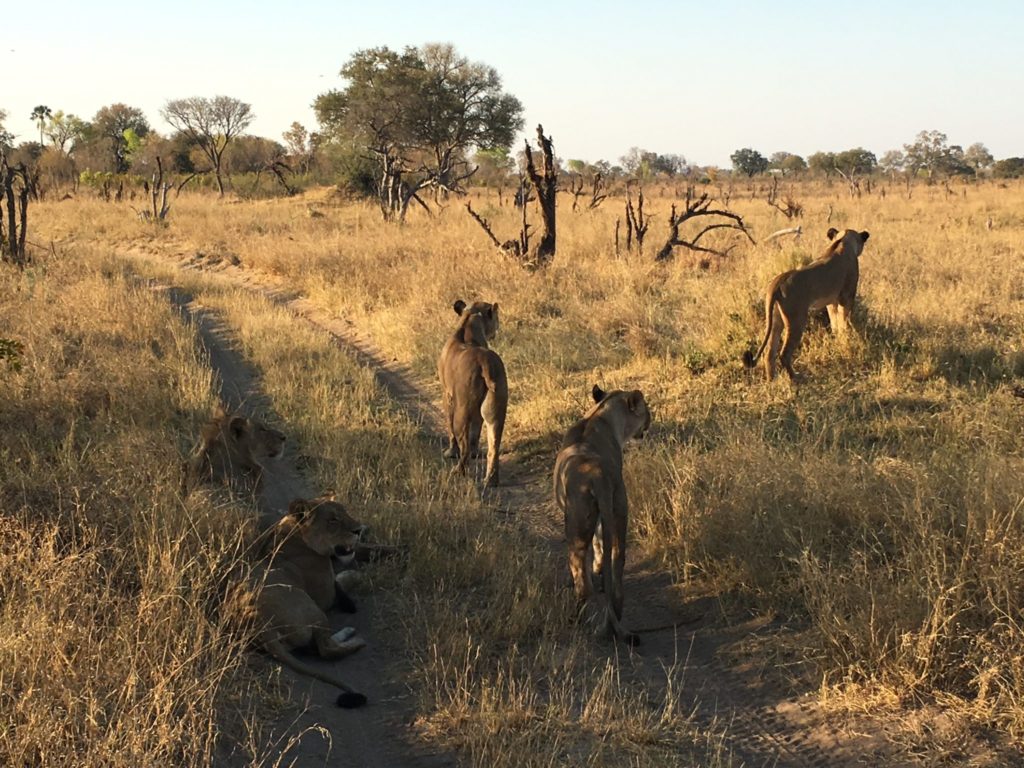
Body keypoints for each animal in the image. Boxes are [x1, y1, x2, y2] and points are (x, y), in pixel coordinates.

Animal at [226, 494, 370, 708]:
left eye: (345, 512)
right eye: (333, 520)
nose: (359, 530)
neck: (294, 532)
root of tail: (259, 623)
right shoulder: (326, 596)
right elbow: (343, 578)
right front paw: (357, 576)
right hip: (313, 608)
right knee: (326, 650)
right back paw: (356, 640)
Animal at [437, 300, 508, 487]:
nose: (498, 327)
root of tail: (485, 361)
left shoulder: (447, 394)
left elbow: (450, 427)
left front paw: (450, 452)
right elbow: (476, 432)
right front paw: (477, 453)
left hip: (462, 409)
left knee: (464, 446)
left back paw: (458, 471)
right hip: (496, 410)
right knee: (493, 447)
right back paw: (490, 480)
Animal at [554, 385, 651, 645]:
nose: (650, 419)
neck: (599, 416)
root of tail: (598, 475)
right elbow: (600, 542)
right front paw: (598, 566)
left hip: (576, 523)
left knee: (581, 578)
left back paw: (577, 618)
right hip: (619, 509)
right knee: (617, 564)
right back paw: (612, 619)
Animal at [743, 227, 871, 381]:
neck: (842, 243)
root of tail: (779, 281)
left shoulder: (831, 302)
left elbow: (835, 324)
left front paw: (839, 341)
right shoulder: (847, 297)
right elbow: (844, 322)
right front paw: (847, 340)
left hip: (775, 319)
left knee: (769, 352)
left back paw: (771, 380)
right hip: (796, 319)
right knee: (784, 354)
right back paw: (796, 378)